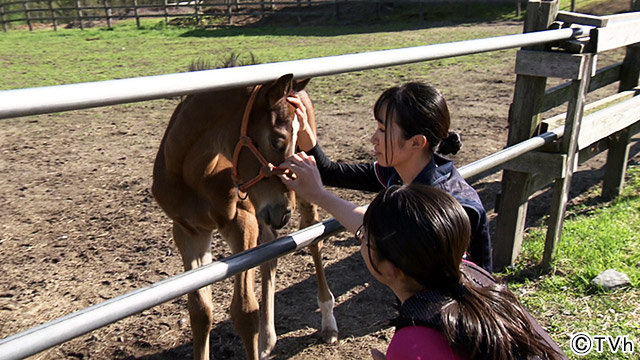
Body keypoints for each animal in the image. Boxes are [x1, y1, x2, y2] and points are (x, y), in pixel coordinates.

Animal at [152, 74, 338, 360]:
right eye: (277, 140)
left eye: (292, 142)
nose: (284, 212)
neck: (191, 173)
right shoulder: (188, 232)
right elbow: (200, 312)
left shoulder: (242, 224)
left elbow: (245, 312)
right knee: (270, 252)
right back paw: (267, 339)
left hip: (299, 191)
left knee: (314, 235)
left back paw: (328, 322)